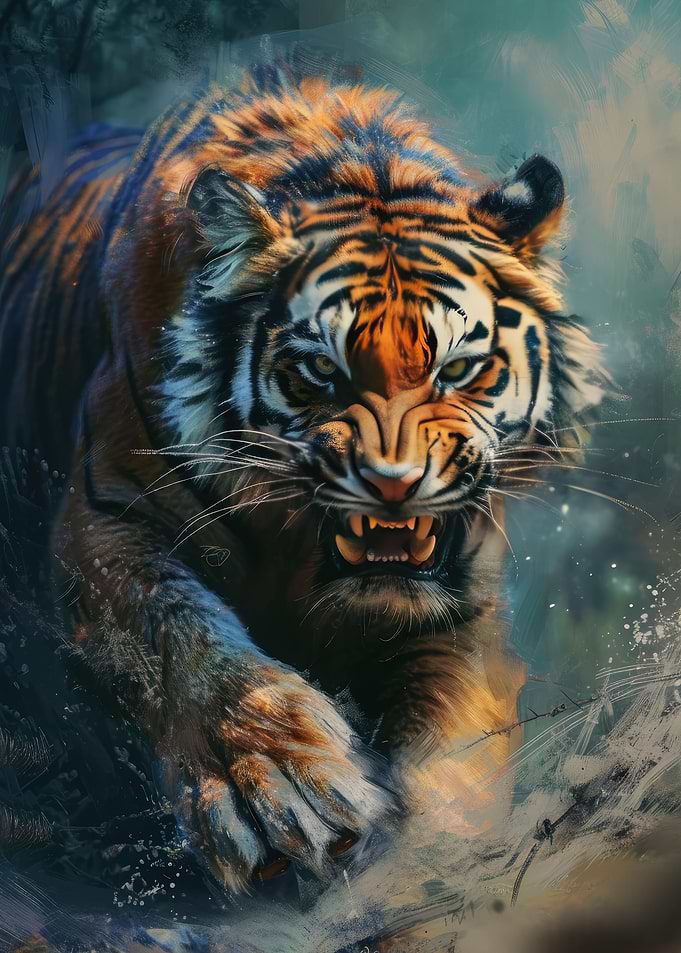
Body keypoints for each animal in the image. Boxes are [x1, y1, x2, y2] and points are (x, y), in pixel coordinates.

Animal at [0, 63, 607, 891]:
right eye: (321, 369)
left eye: (457, 370)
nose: (394, 483)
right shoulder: (104, 515)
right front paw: (277, 786)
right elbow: (173, 631)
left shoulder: (460, 605)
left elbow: (456, 754)